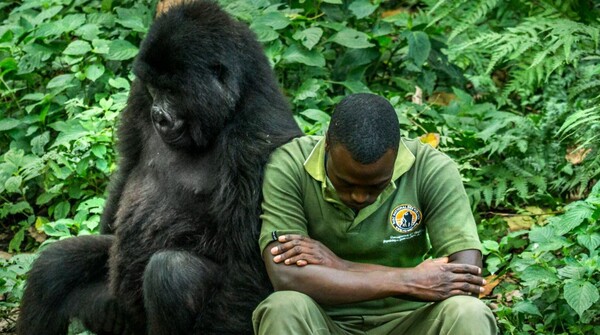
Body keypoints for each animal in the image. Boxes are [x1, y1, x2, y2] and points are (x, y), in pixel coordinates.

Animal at [16, 1, 302, 334]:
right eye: (154, 88)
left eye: (174, 91)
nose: (158, 116)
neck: (232, 103)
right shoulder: (138, 94)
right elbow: (127, 167)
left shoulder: (259, 138)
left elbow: (247, 265)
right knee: (54, 265)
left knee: (172, 275)